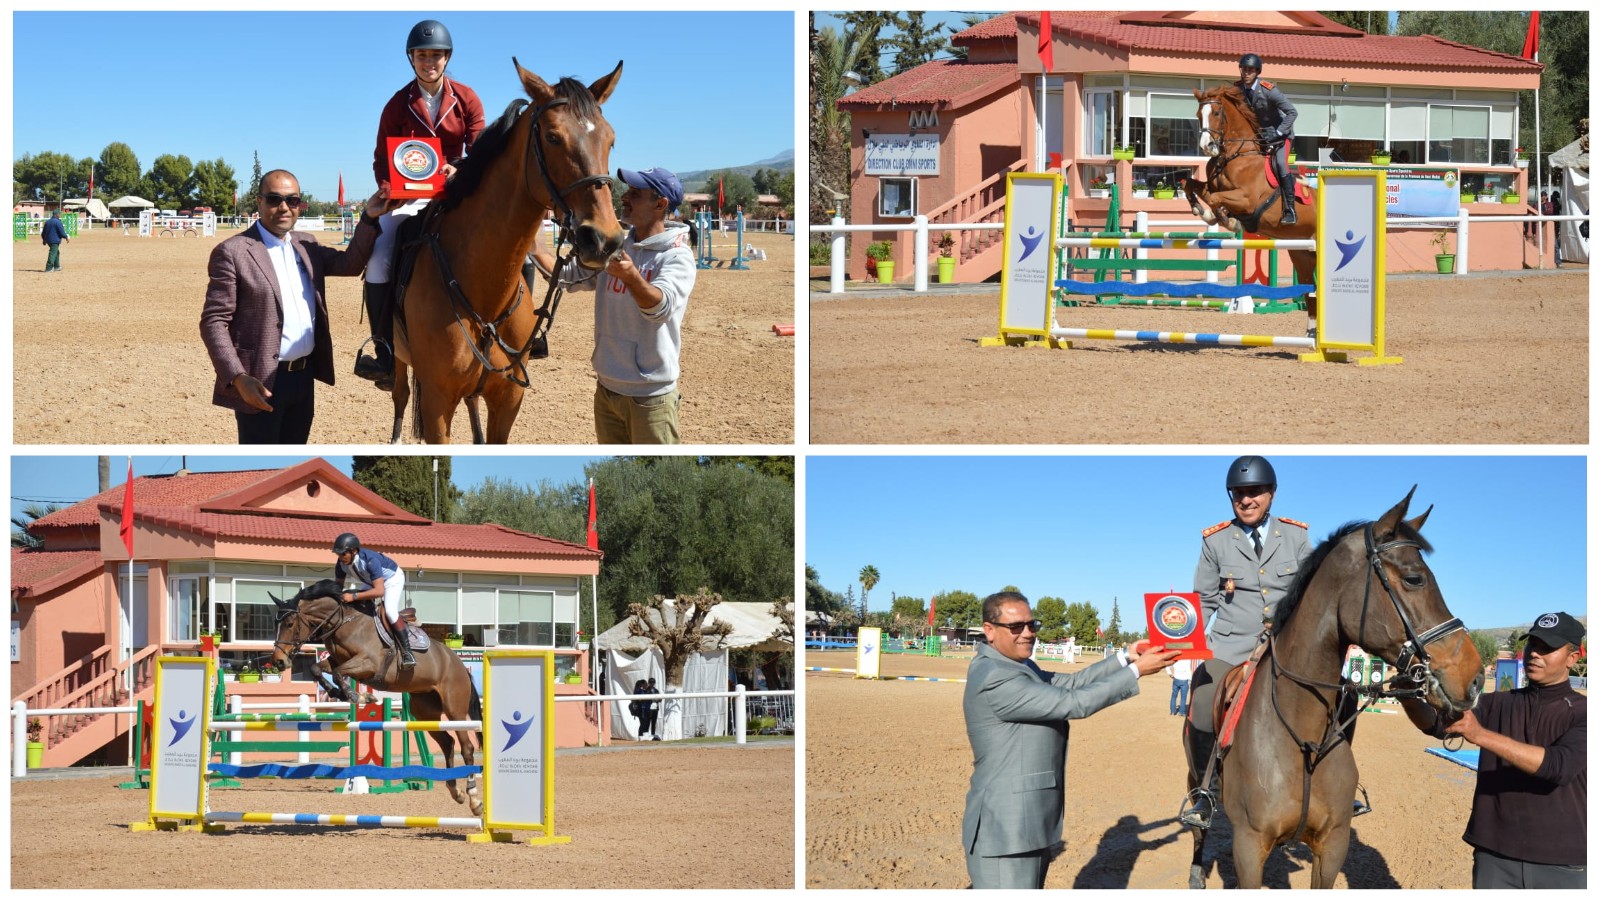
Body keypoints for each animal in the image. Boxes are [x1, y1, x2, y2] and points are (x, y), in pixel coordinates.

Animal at [272, 576, 483, 816]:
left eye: (289, 624)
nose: (279, 661)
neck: (343, 622)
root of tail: (459, 664)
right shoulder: (337, 660)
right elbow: (319, 669)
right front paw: (343, 693)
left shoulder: (368, 663)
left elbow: (338, 673)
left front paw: (358, 697)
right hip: (425, 712)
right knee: (447, 743)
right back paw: (455, 792)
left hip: (454, 708)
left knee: (466, 747)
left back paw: (474, 799)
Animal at [390, 56, 627, 441]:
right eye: (552, 137)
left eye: (610, 140)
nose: (604, 239)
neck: (484, 293)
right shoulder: (437, 403)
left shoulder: (508, 399)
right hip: (399, 359)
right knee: (399, 395)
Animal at [1177, 486, 1484, 883]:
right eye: (1415, 579)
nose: (1474, 677)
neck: (1301, 735)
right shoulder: (1249, 848)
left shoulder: (1332, 845)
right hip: (1194, 775)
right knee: (1199, 827)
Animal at [1184, 84, 1318, 325]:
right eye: (1198, 115)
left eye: (1216, 113)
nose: (1207, 147)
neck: (1234, 155)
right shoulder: (1212, 186)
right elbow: (1190, 185)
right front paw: (1202, 210)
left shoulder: (1246, 200)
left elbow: (1214, 198)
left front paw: (1226, 220)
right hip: (1301, 253)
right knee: (1310, 291)